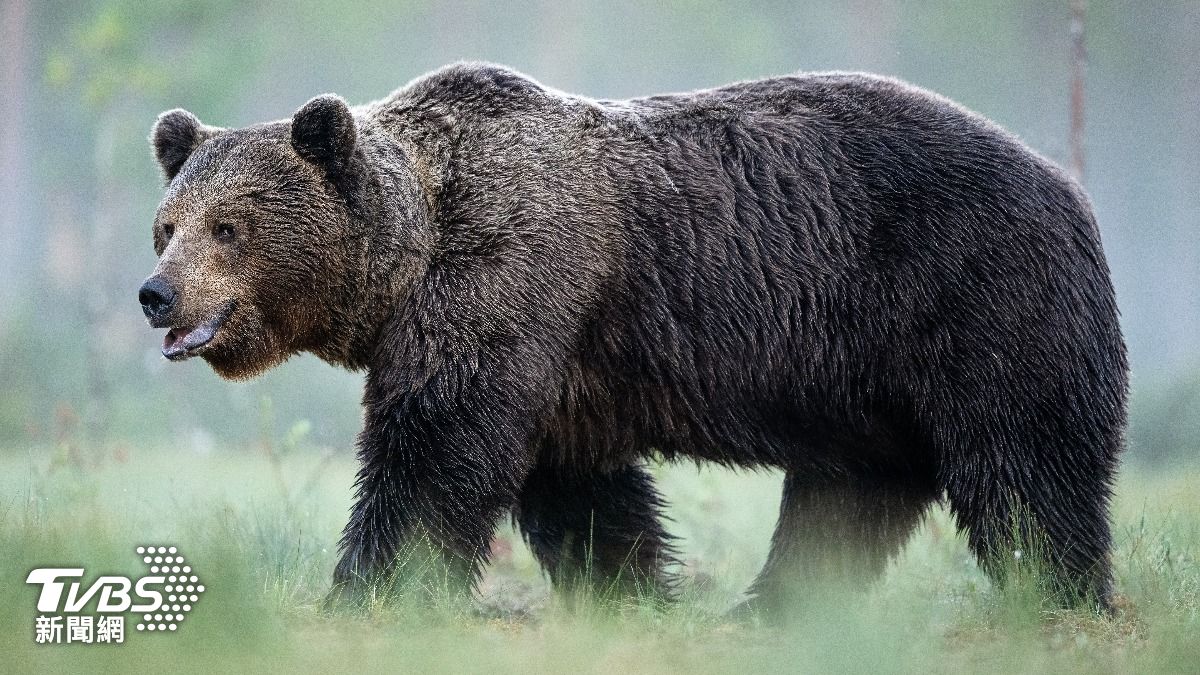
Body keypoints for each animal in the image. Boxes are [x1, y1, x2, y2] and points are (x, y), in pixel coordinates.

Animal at [139, 62, 1128, 616]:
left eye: (229, 227)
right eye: (167, 225)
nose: (157, 294)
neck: (409, 255)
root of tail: (1070, 185)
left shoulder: (510, 277)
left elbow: (432, 450)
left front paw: (367, 586)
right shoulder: (557, 357)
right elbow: (578, 487)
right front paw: (632, 586)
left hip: (973, 295)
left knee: (1024, 463)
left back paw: (1059, 590)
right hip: (868, 383)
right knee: (849, 493)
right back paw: (771, 606)